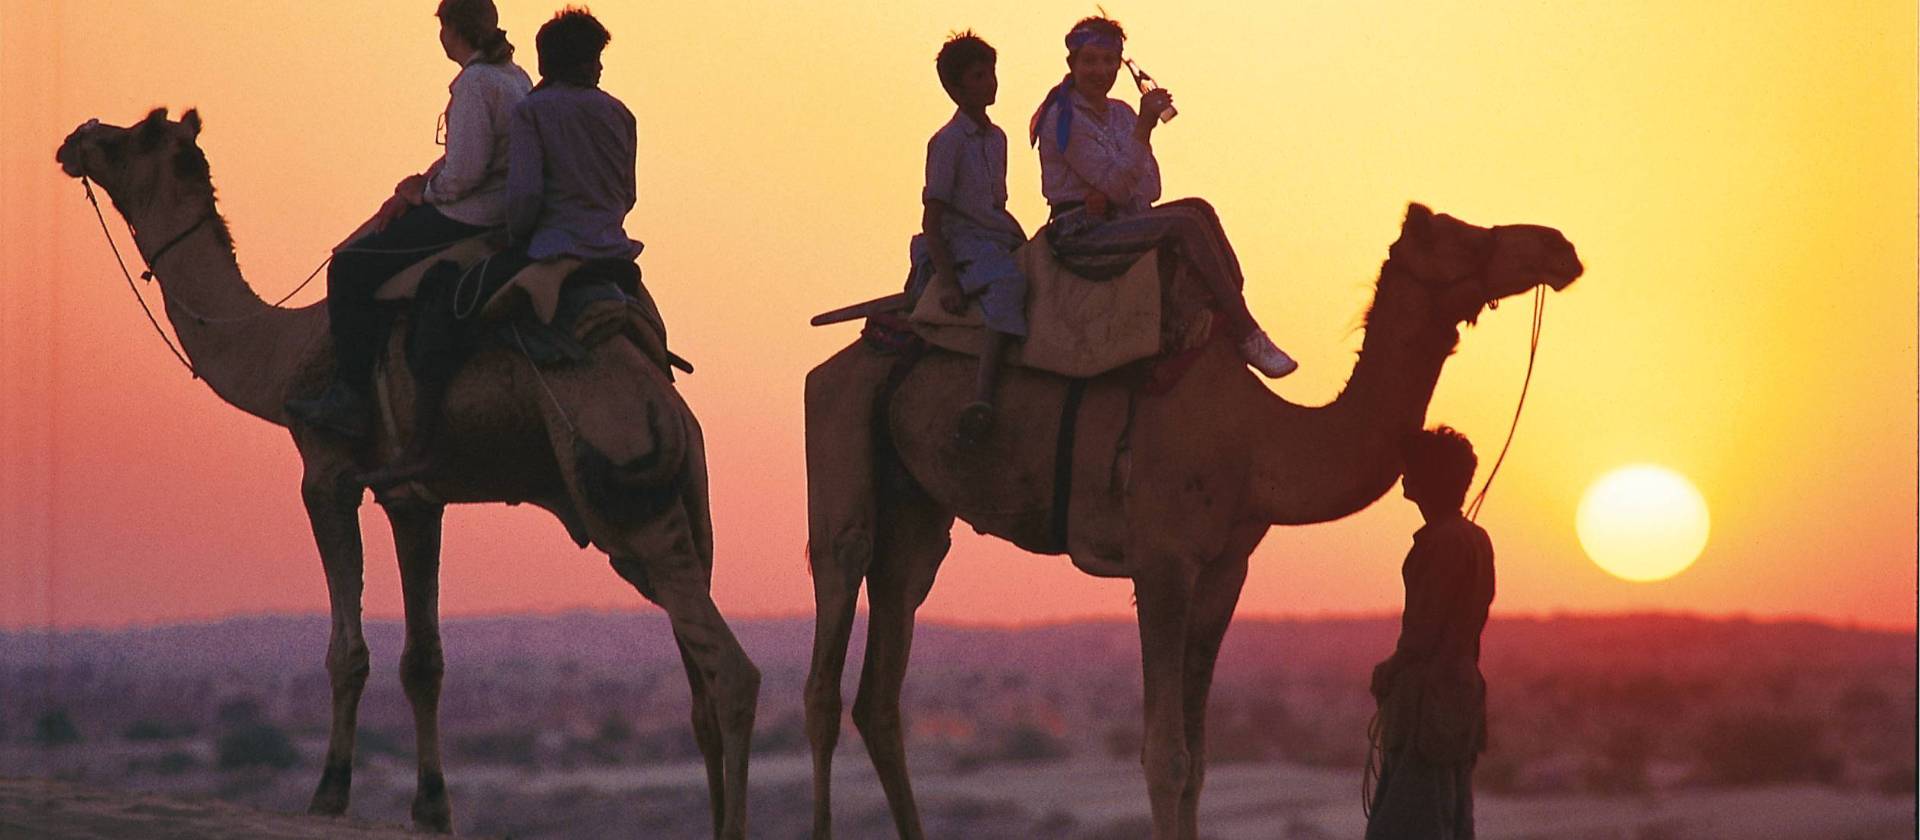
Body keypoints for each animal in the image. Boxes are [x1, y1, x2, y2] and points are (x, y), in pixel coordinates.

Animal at [56, 109, 759, 839]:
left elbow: (347, 652)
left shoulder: (326, 475)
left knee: (733, 674)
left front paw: (329, 793)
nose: (77, 138)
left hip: (624, 489)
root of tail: (666, 408)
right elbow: (424, 660)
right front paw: (431, 806)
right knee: (700, 685)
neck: (281, 355)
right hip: (676, 510)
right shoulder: (412, 498)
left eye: (134, 136)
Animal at [802, 202, 1582, 840]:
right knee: (827, 652)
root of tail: (848, 353)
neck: (1260, 439)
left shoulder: (1224, 569)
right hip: (839, 440)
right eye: (1461, 234)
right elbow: (1165, 757)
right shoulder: (1163, 561)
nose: (1559, 245)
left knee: (884, 678)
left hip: (917, 513)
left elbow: (1200, 759)